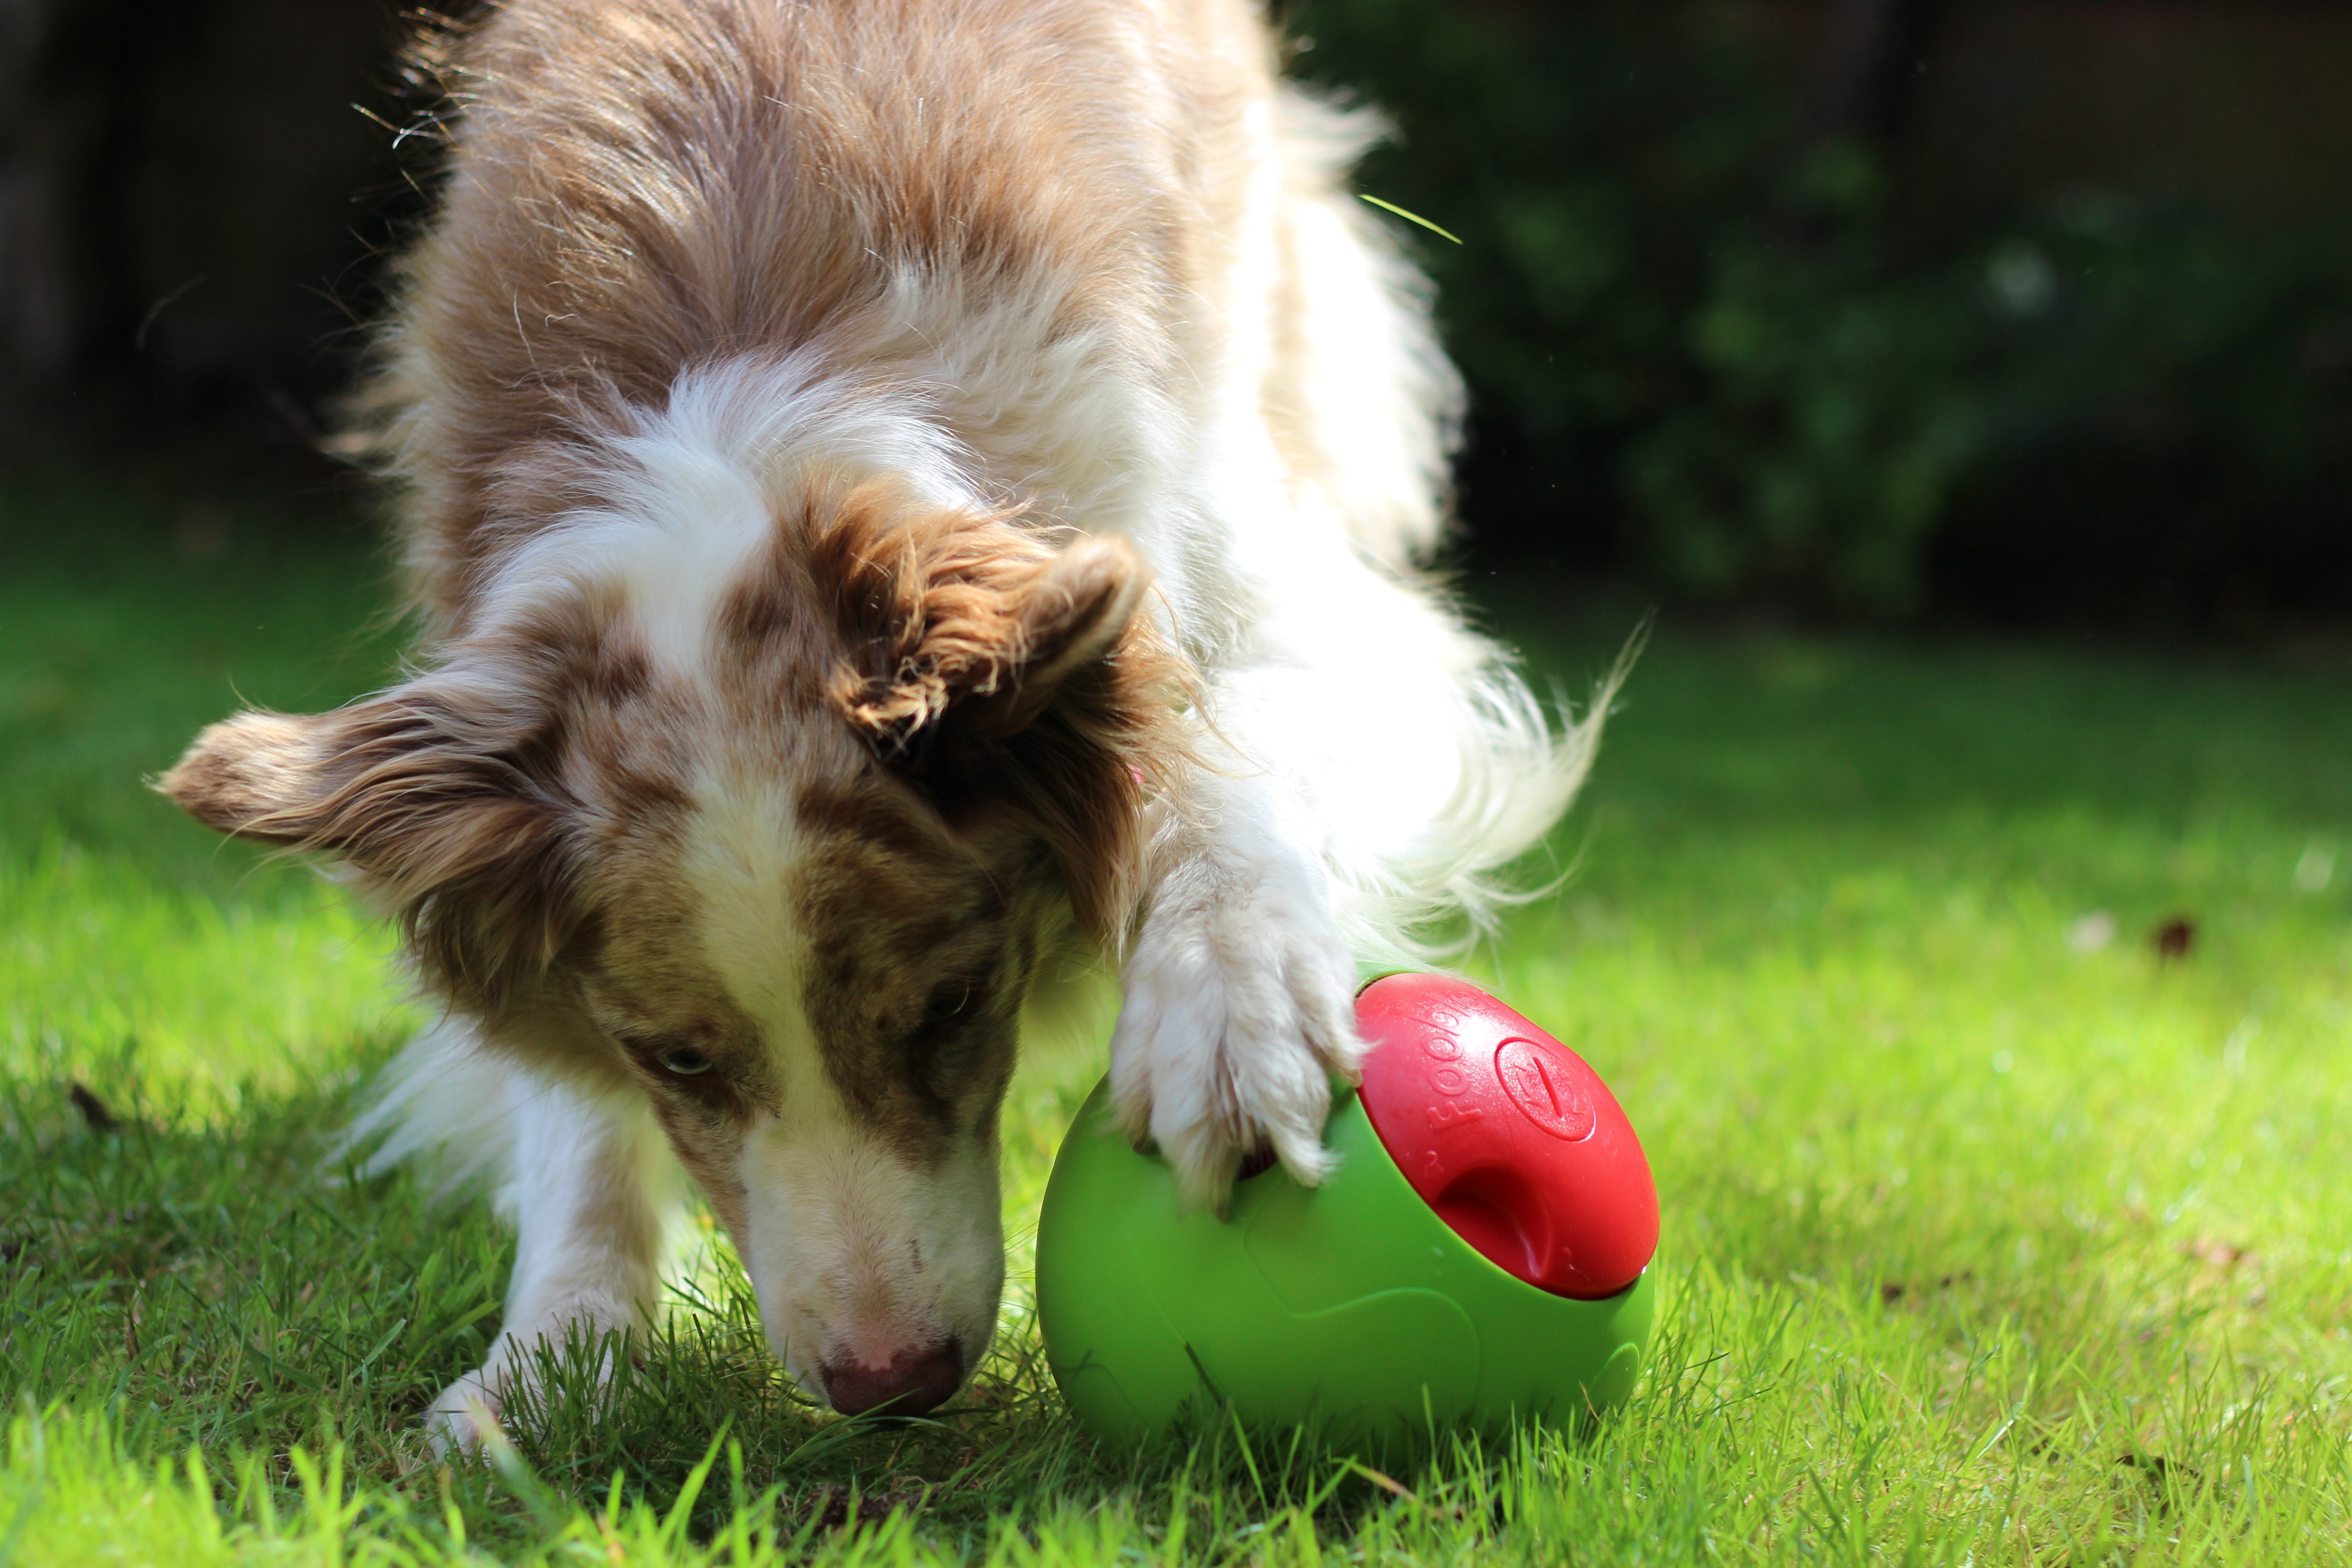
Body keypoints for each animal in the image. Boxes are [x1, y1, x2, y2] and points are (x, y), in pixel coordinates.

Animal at [156, 0, 1608, 1448]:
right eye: (676, 1056)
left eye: (952, 1001)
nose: (888, 1384)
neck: (745, 428)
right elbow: (570, 1106)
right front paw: (552, 1355)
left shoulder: (1245, 571)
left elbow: (1219, 756)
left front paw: (1227, 1012)